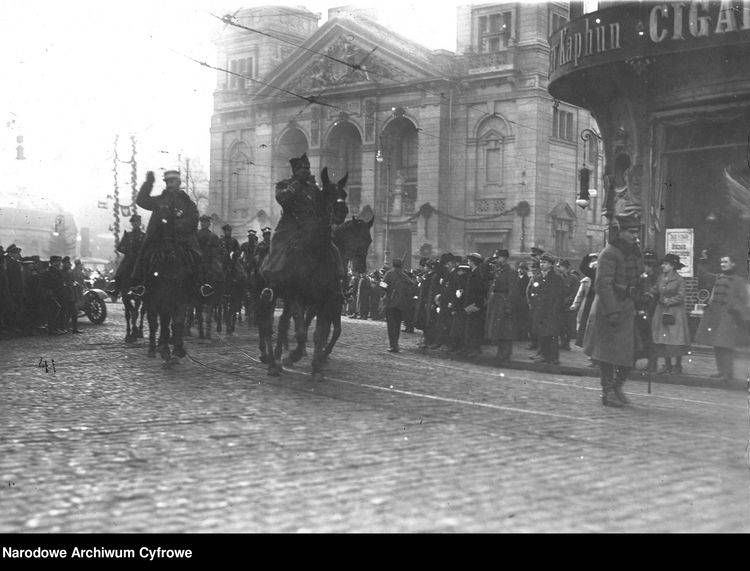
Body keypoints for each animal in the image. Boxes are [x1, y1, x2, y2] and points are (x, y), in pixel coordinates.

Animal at [258, 165, 352, 380]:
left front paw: (316, 366)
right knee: (268, 326)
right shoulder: (297, 296)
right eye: (327, 193)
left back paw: (277, 358)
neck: (315, 254)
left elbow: (319, 334)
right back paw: (272, 362)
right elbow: (301, 332)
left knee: (283, 325)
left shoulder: (324, 300)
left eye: (343, 194)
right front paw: (293, 356)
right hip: (271, 295)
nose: (341, 211)